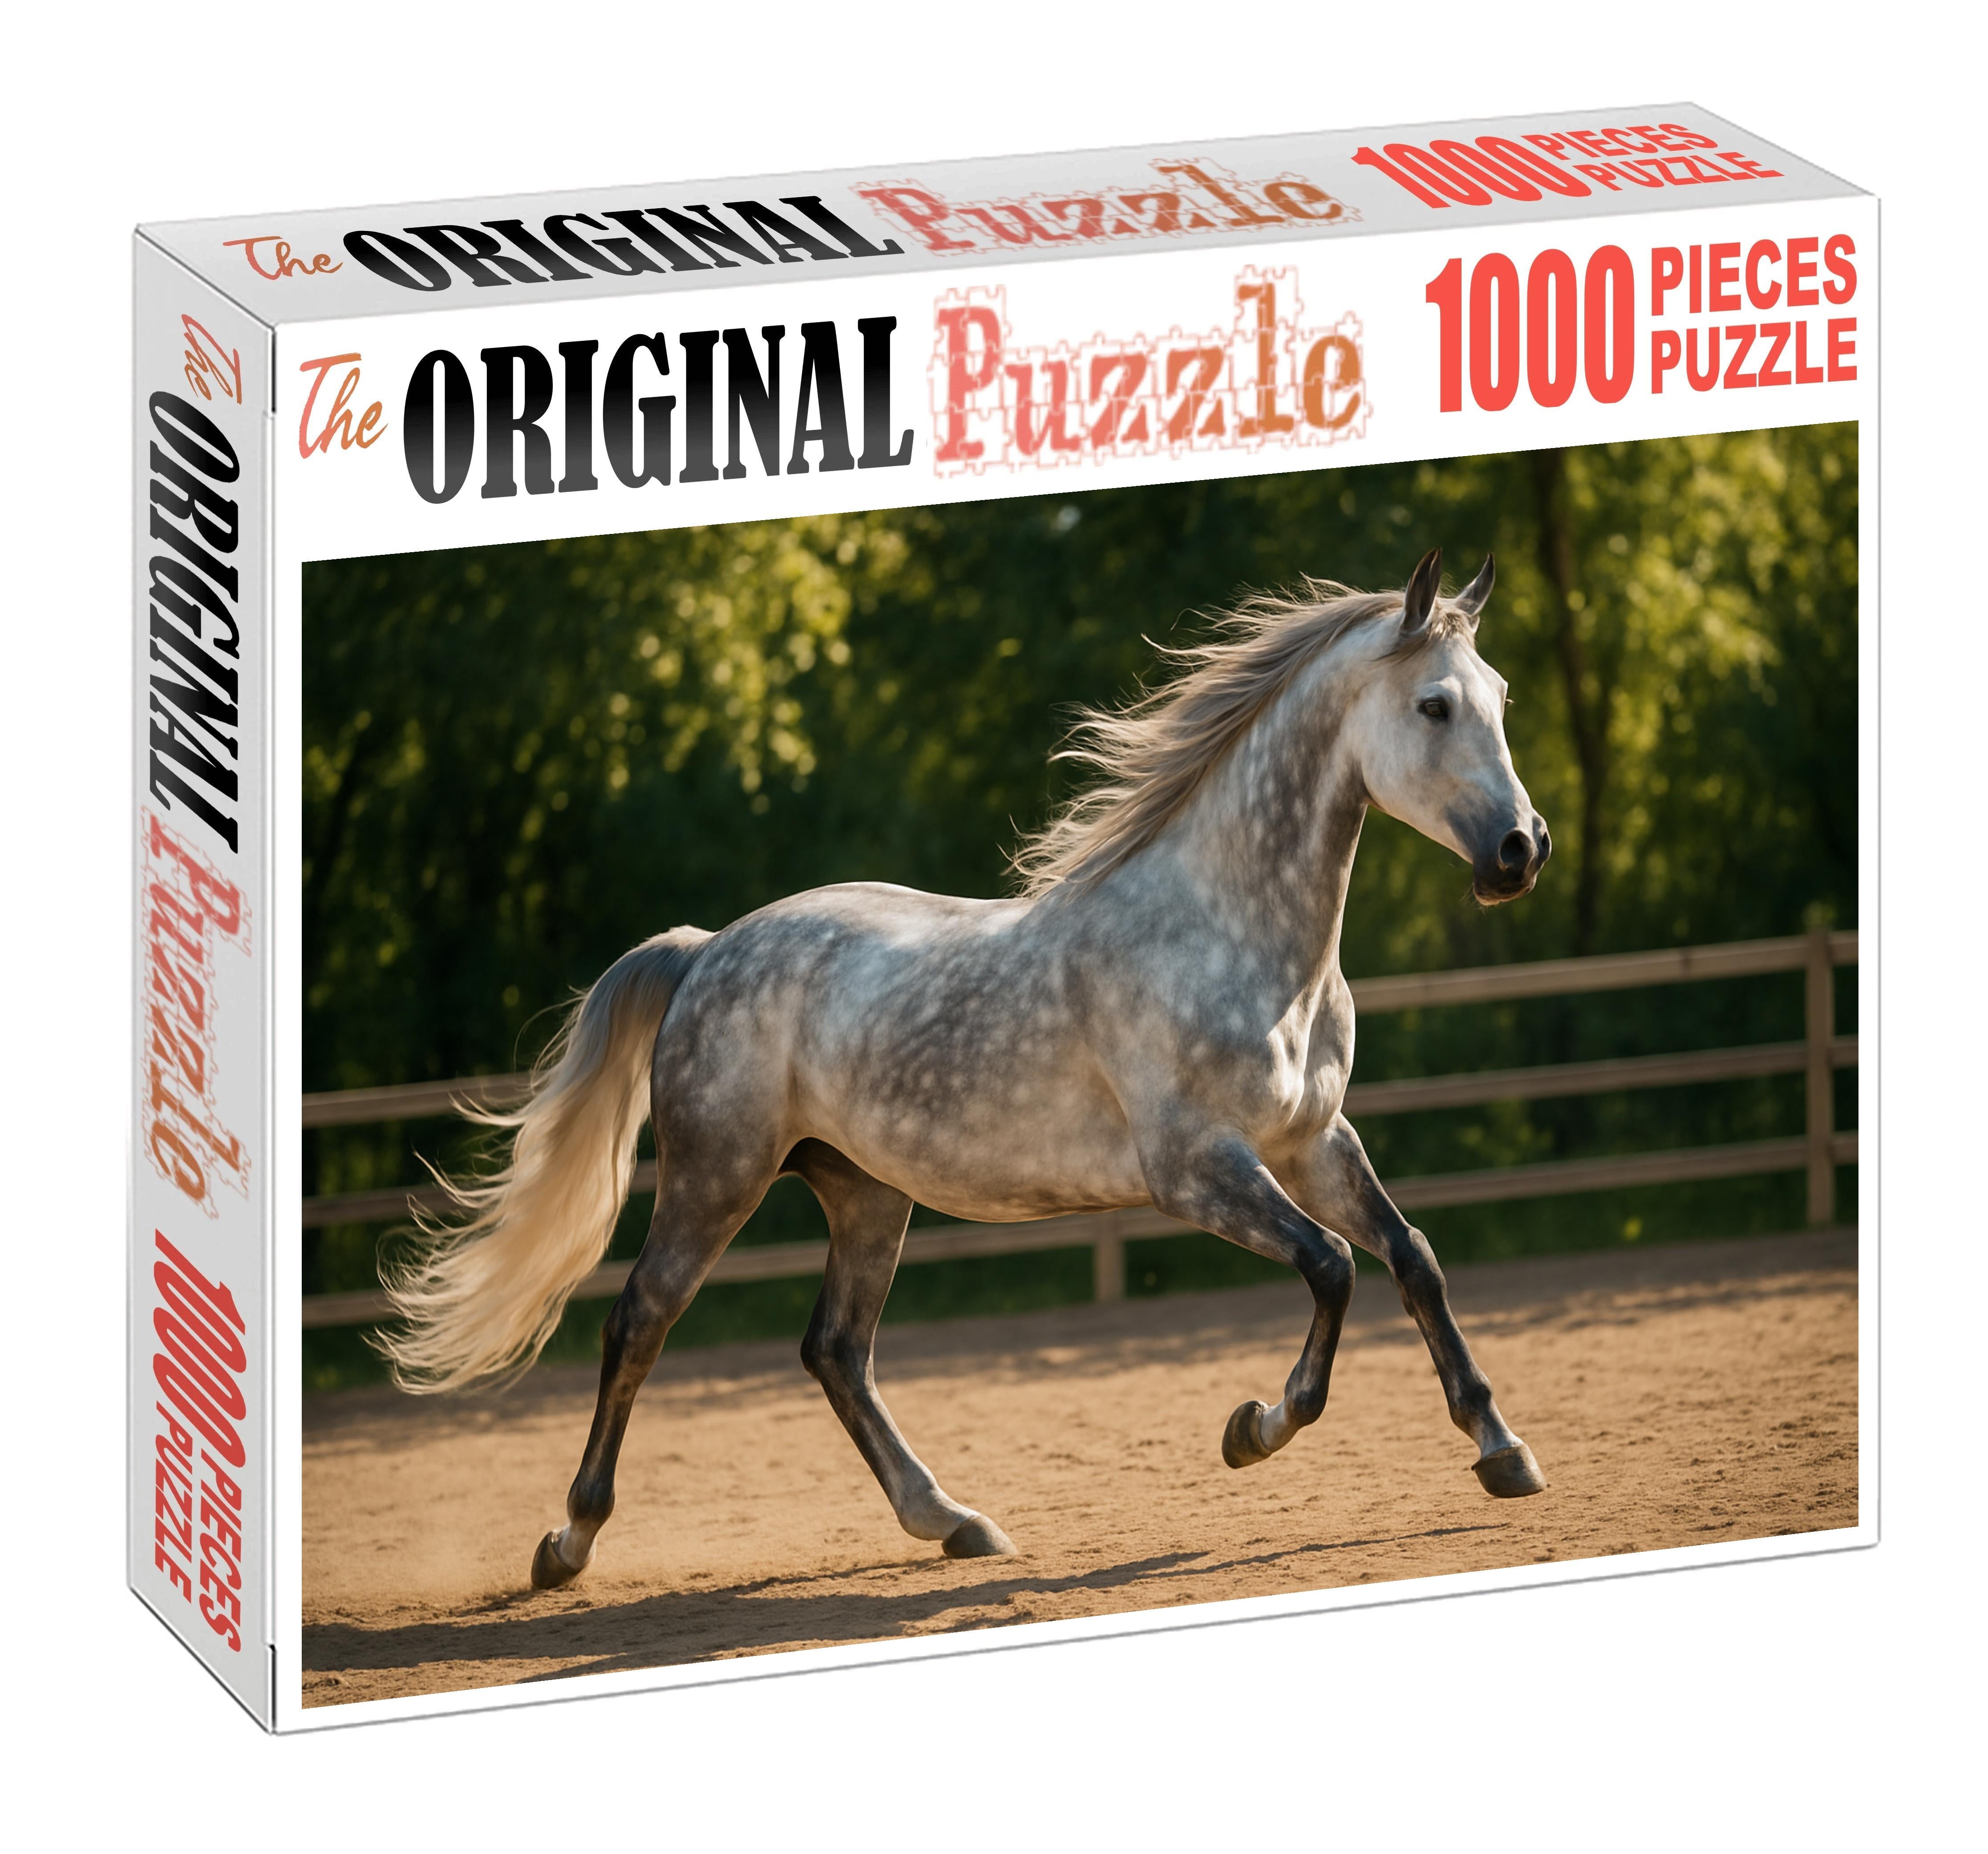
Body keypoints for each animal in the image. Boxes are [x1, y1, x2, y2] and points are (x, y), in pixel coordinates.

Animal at [378, 546, 1554, 1590]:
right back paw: (567, 1544)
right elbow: (1333, 1267)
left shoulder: (1312, 1143)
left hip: (865, 1191)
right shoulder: (1198, 1169)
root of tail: (706, 949)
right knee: (641, 1321)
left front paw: (1503, 1451)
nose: (1522, 850)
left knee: (835, 1350)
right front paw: (1251, 1428)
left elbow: (1412, 1258)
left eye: (1501, 696)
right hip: (717, 1178)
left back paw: (951, 1520)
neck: (1232, 937)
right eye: (1434, 706)